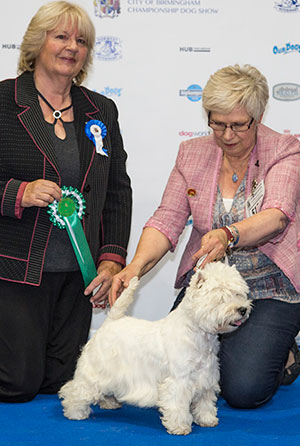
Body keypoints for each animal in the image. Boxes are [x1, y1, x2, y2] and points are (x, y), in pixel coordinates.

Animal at [58, 264, 251, 434]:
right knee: (76, 390)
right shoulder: (178, 381)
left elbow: (205, 402)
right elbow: (178, 404)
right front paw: (179, 427)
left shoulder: (206, 377)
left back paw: (109, 402)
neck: (199, 334)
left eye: (239, 293)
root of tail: (110, 321)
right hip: (95, 370)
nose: (242, 310)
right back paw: (75, 412)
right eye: (221, 297)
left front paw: (207, 420)